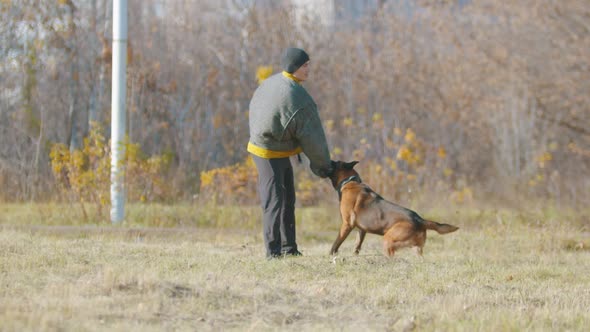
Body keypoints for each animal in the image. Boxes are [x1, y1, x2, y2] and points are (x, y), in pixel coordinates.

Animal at [328, 161, 458, 256]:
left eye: (335, 163)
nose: (330, 160)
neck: (350, 181)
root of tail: (419, 220)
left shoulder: (347, 224)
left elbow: (337, 242)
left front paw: (332, 254)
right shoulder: (362, 229)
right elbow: (357, 245)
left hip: (388, 240)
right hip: (414, 247)